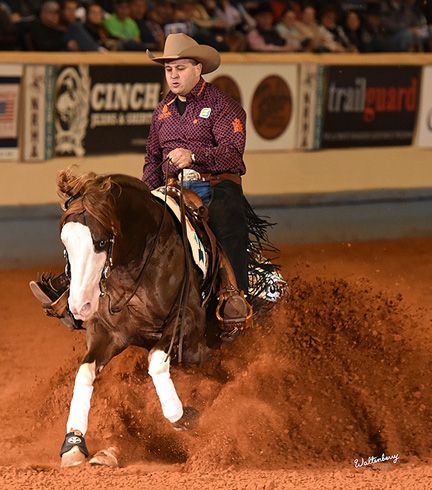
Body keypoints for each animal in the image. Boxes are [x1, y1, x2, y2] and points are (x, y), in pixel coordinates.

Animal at [56, 169, 214, 467]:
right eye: (65, 244)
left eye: (101, 242)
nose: (80, 306)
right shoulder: (107, 332)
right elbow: (85, 372)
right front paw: (73, 443)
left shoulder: (189, 324)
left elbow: (157, 362)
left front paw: (182, 416)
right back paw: (108, 454)